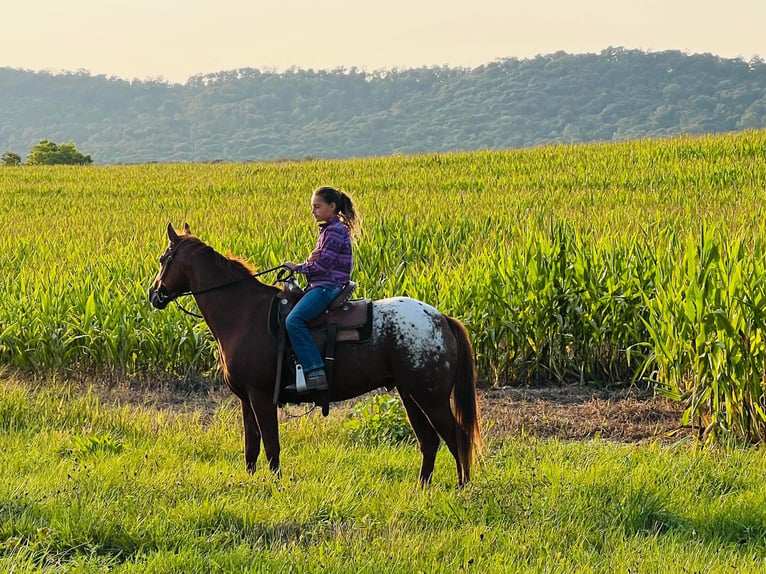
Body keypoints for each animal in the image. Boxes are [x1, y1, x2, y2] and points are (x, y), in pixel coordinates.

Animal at [148, 224, 484, 486]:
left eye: (164, 258)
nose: (153, 294)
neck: (244, 313)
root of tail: (441, 319)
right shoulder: (246, 399)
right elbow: (251, 447)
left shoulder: (261, 396)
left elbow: (271, 445)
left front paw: (275, 485)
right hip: (410, 394)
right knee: (429, 441)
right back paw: (422, 488)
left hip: (432, 397)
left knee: (455, 437)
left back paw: (461, 488)